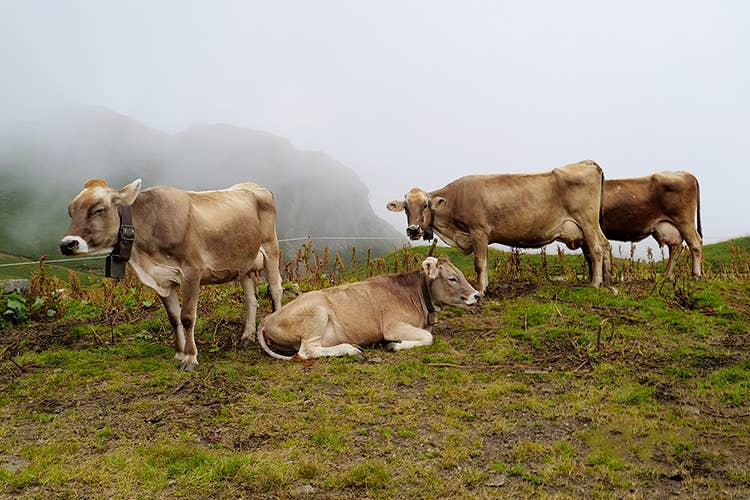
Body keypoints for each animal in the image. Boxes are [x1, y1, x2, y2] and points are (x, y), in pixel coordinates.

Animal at [58, 178, 284, 370]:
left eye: (97, 209)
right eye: (70, 212)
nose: (67, 244)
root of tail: (255, 186)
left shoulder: (192, 272)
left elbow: (187, 317)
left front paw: (190, 358)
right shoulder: (162, 280)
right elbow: (174, 318)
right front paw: (179, 354)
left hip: (271, 248)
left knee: (275, 289)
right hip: (244, 261)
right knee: (251, 298)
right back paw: (247, 336)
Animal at [258, 258, 482, 360]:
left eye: (461, 274)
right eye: (452, 278)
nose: (477, 295)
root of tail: (267, 319)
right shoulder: (392, 326)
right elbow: (428, 338)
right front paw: (394, 345)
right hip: (316, 313)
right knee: (308, 351)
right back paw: (351, 349)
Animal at [390, 160, 612, 292]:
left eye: (426, 205)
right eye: (406, 208)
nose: (413, 230)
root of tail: (586, 162)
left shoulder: (478, 231)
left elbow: (480, 263)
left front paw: (480, 290)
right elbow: (485, 263)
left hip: (587, 221)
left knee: (597, 248)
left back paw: (595, 284)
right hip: (590, 225)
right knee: (606, 245)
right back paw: (608, 280)